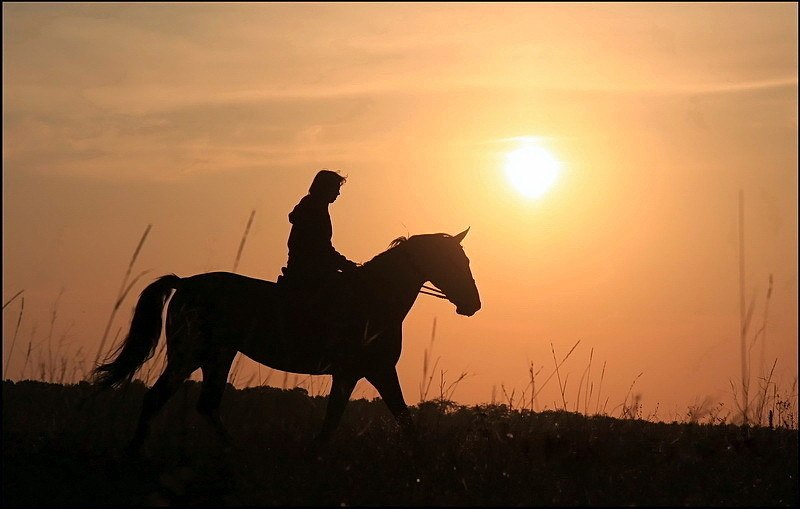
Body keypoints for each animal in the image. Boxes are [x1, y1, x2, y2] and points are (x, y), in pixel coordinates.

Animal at [94, 228, 482, 450]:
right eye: (453, 261)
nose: (473, 305)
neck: (374, 298)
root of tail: (186, 282)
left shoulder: (373, 371)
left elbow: (400, 419)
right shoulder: (360, 372)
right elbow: (342, 420)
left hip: (218, 356)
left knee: (206, 405)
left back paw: (233, 452)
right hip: (188, 356)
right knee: (156, 399)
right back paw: (135, 455)